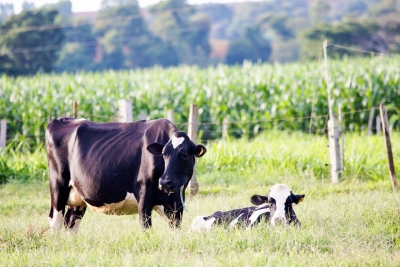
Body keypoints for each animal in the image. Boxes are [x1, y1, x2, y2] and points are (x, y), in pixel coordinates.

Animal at [45, 117, 206, 232]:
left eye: (184, 155)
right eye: (164, 154)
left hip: (78, 197)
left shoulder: (176, 204)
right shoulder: (144, 195)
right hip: (58, 187)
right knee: (55, 223)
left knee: (70, 224)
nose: (165, 182)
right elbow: (146, 229)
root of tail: (60, 120)